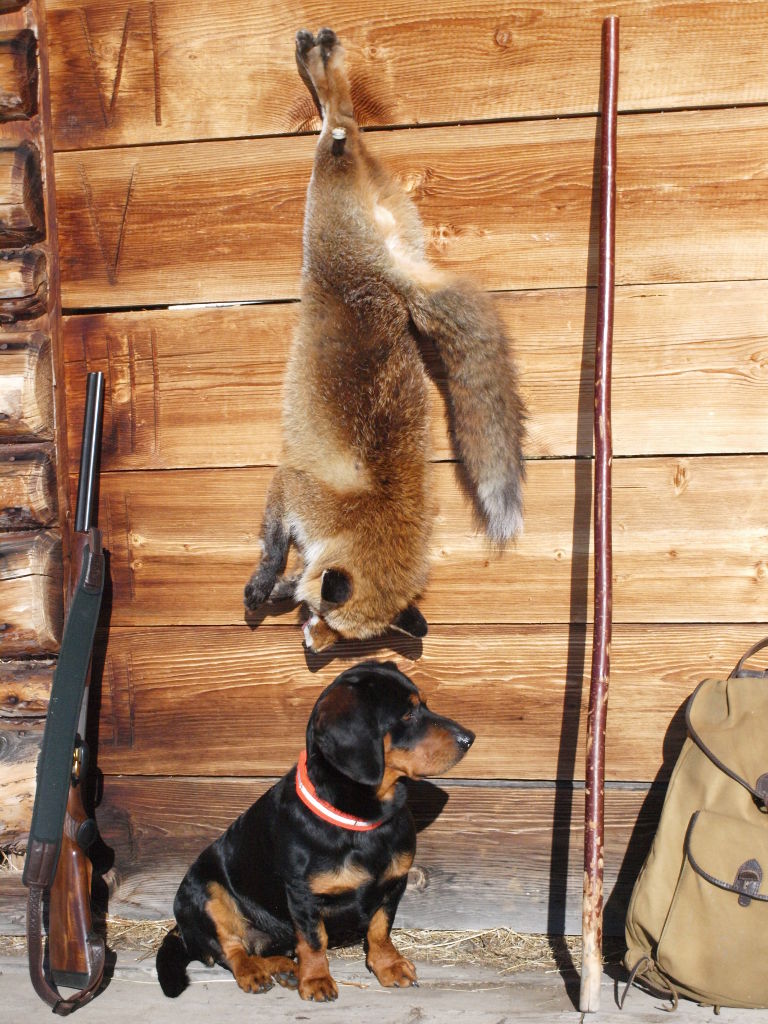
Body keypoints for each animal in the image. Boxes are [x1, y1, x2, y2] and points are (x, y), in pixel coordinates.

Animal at [156, 659, 475, 1003]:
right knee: (232, 949)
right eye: (407, 715)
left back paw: (284, 968)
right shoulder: (302, 895)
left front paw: (388, 965)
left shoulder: (393, 884)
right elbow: (313, 939)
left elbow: (380, 928)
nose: (469, 738)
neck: (361, 818)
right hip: (202, 890)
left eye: (424, 705)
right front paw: (316, 979)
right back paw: (255, 972)